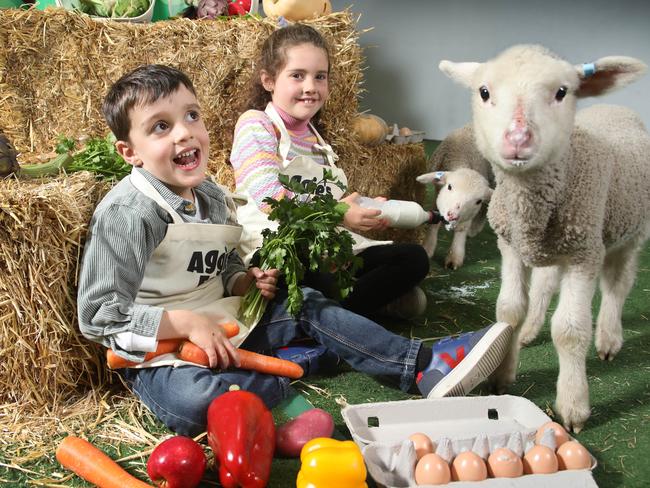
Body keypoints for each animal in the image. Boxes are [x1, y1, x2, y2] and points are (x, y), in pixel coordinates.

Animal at [416, 124, 492, 268]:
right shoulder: (438, 193)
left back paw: (475, 228)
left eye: (478, 201)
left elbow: (462, 229)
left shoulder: (468, 215)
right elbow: (434, 222)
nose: (452, 215)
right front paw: (428, 247)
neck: (461, 155)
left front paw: (455, 257)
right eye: (449, 186)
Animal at [438, 45, 644, 432]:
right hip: (555, 247)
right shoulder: (510, 247)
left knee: (617, 285)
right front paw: (502, 374)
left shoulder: (583, 253)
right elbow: (509, 309)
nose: (518, 139)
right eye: (483, 91)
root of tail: (617, 107)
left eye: (562, 92)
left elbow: (569, 330)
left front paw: (573, 407)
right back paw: (531, 329)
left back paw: (609, 338)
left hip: (630, 232)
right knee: (545, 283)